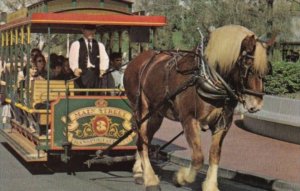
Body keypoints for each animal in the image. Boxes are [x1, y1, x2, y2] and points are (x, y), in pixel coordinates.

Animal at [123, 25, 274, 191]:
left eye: (267, 69)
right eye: (247, 66)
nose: (256, 105)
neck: (206, 77)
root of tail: (136, 60)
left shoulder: (222, 123)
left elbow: (214, 154)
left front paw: (210, 185)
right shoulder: (189, 120)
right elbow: (198, 158)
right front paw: (180, 178)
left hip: (157, 114)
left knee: (146, 139)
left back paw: (139, 172)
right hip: (141, 108)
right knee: (142, 140)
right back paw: (150, 179)